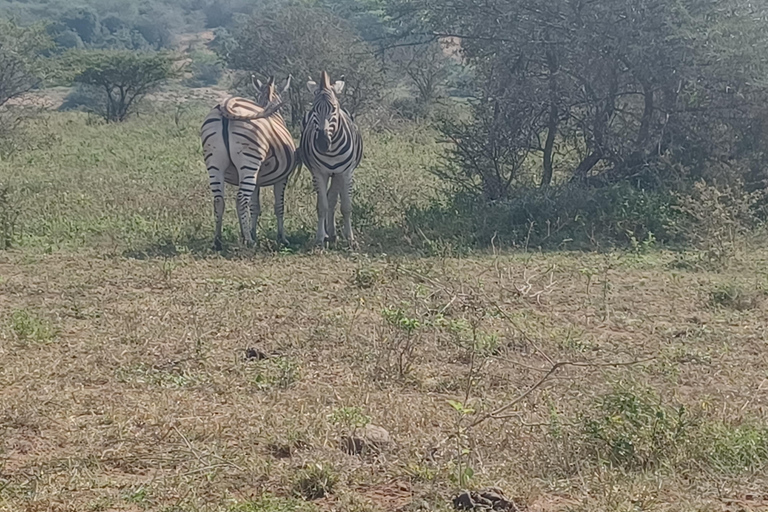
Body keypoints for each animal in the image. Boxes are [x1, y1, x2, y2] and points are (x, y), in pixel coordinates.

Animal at [200, 75, 298, 250]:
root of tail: (226, 105)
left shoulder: (257, 180)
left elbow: (254, 207)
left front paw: (251, 232)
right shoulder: (282, 178)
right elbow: (279, 207)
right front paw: (281, 238)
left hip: (215, 163)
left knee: (219, 200)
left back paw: (218, 240)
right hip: (249, 162)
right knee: (240, 199)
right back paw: (248, 241)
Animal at [300, 71, 364, 246]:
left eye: (334, 109)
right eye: (314, 109)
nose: (322, 143)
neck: (332, 150)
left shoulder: (346, 173)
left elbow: (346, 206)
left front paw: (350, 238)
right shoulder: (318, 173)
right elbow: (322, 206)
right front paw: (320, 238)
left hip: (337, 174)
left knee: (333, 199)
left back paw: (334, 233)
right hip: (329, 174)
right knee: (329, 200)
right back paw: (330, 233)